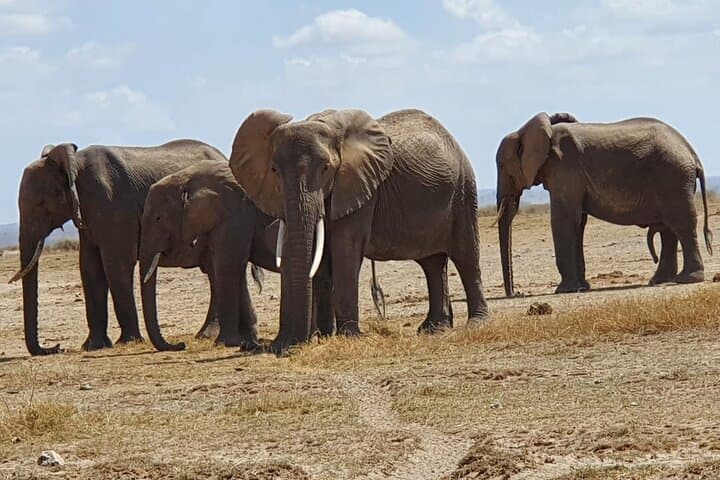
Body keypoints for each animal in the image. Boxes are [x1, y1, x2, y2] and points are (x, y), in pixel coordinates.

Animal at [10, 140, 224, 355]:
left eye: (39, 204)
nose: (56, 347)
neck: (75, 163)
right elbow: (90, 268)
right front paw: (93, 346)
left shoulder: (113, 206)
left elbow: (116, 265)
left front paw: (128, 342)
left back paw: (205, 335)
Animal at [229, 108, 489, 352]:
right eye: (274, 170)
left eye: (326, 168)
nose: (284, 345)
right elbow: (312, 257)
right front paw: (315, 338)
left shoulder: (361, 188)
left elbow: (346, 249)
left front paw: (347, 337)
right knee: (432, 264)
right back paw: (434, 328)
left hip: (463, 191)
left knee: (465, 257)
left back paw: (475, 324)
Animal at [496, 113, 712, 295]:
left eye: (501, 165)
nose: (517, 293)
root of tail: (692, 154)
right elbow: (578, 223)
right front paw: (581, 288)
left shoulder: (564, 167)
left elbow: (564, 220)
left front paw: (565, 290)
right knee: (669, 229)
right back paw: (659, 281)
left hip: (673, 177)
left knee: (681, 225)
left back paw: (687, 279)